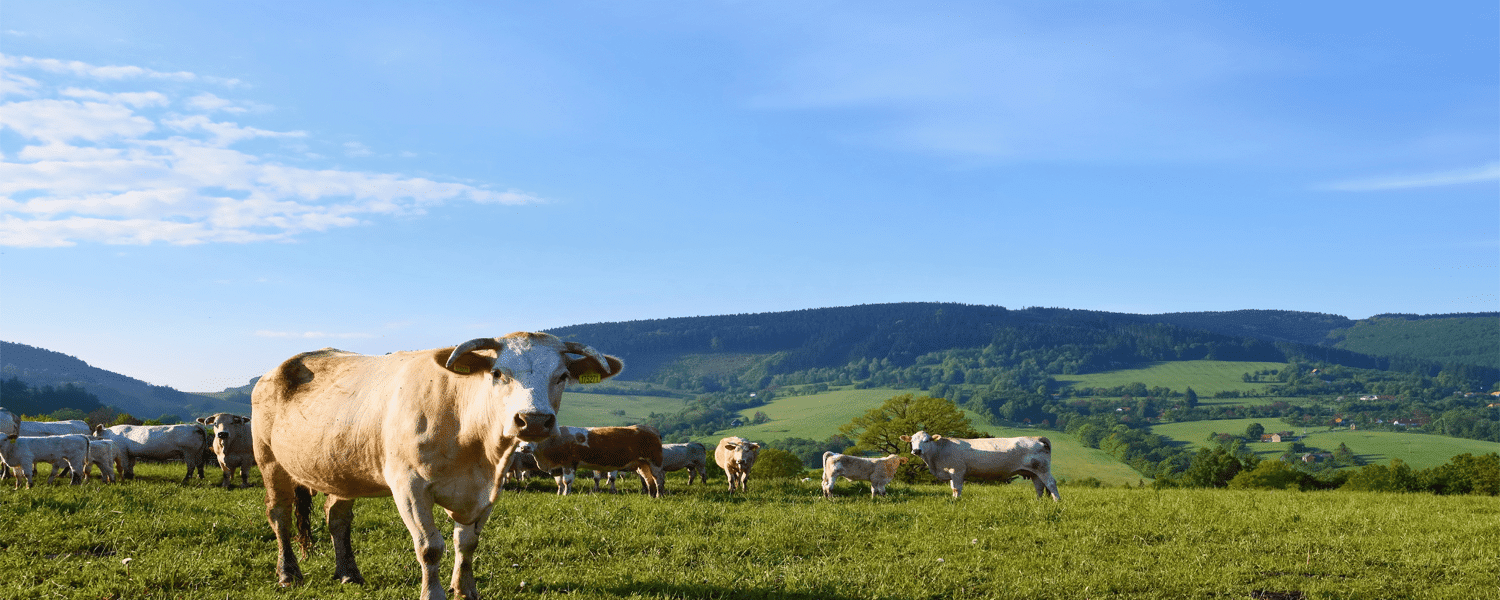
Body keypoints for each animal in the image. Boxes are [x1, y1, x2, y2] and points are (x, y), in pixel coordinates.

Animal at [252, 333, 621, 600]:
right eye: (497, 373)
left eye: (562, 376)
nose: (534, 420)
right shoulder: (409, 486)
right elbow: (430, 547)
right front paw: (434, 593)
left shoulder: (488, 490)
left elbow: (467, 543)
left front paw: (466, 590)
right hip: (269, 459)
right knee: (279, 515)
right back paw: (288, 573)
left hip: (341, 468)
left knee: (337, 519)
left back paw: (349, 573)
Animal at [531, 423, 666, 498]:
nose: (526, 447)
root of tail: (650, 428)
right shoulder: (557, 467)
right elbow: (559, 483)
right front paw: (559, 493)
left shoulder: (569, 464)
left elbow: (567, 481)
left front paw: (566, 494)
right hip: (643, 464)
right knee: (648, 479)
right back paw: (651, 495)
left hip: (655, 462)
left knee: (658, 479)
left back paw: (659, 495)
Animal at [894, 432, 1062, 501]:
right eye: (912, 441)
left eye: (927, 440)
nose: (916, 450)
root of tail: (1036, 437)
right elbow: (952, 488)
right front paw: (954, 499)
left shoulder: (957, 471)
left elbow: (957, 488)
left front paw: (956, 500)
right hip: (1034, 472)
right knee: (1039, 486)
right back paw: (1038, 501)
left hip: (1042, 468)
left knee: (1051, 483)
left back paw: (1057, 501)